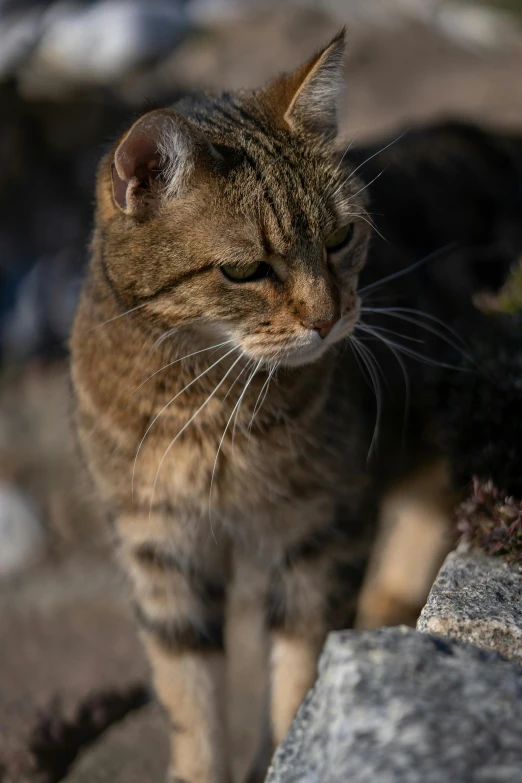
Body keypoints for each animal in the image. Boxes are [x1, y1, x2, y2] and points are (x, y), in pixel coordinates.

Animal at [69, 32, 450, 783]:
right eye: (244, 270)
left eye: (340, 238)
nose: (329, 318)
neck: (205, 402)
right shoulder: (161, 546)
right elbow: (187, 693)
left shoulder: (324, 530)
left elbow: (300, 669)